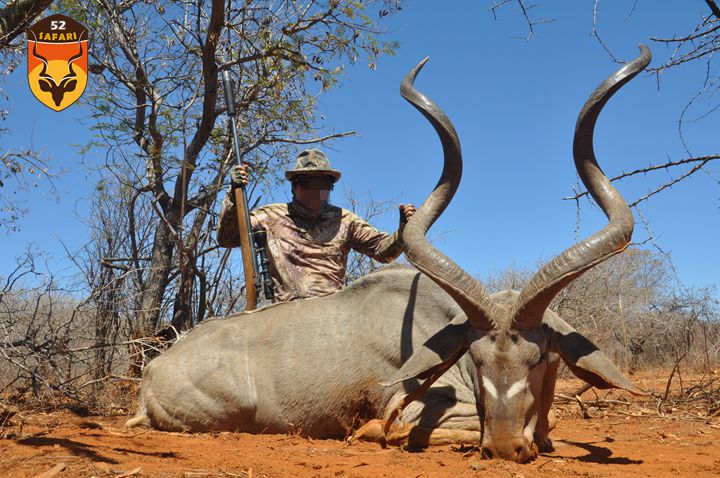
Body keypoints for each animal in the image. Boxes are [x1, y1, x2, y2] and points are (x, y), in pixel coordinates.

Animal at [126, 48, 648, 464]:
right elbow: (395, 426)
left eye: (539, 358)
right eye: (476, 359)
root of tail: (152, 372)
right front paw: (373, 431)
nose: (503, 447)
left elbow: (553, 426)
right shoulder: (427, 408)